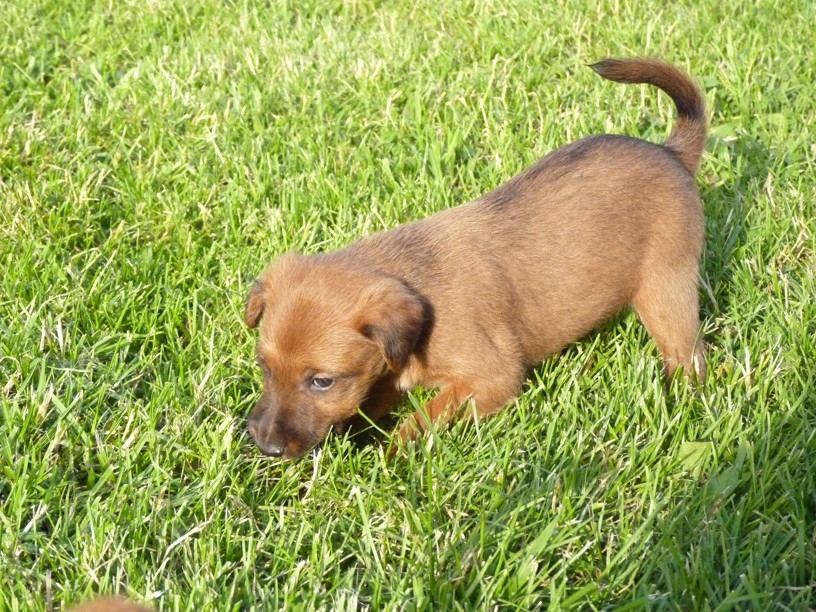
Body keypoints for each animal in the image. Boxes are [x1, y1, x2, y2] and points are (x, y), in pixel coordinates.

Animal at [244, 58, 708, 459]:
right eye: (264, 367)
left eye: (322, 381)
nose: (265, 447)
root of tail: (670, 152)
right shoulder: (386, 371)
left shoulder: (491, 379)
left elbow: (424, 418)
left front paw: (389, 455)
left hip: (665, 291)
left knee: (689, 355)